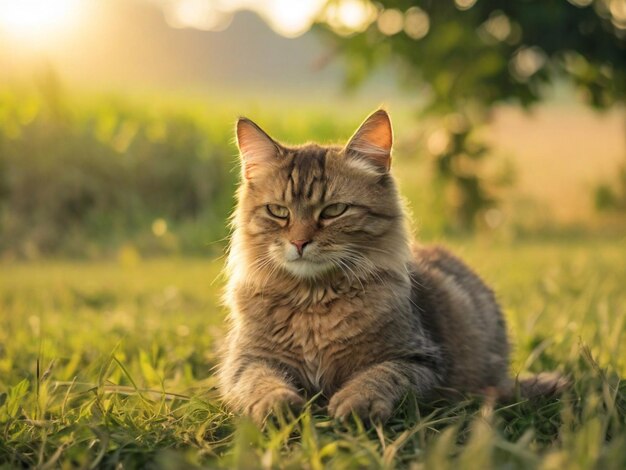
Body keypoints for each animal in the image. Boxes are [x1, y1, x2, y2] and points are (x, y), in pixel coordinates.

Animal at [217, 111, 564, 426]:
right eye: (278, 212)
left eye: (333, 211)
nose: (299, 243)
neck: (313, 301)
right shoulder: (247, 359)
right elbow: (260, 381)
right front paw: (277, 406)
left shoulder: (418, 359)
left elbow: (379, 375)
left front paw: (356, 403)